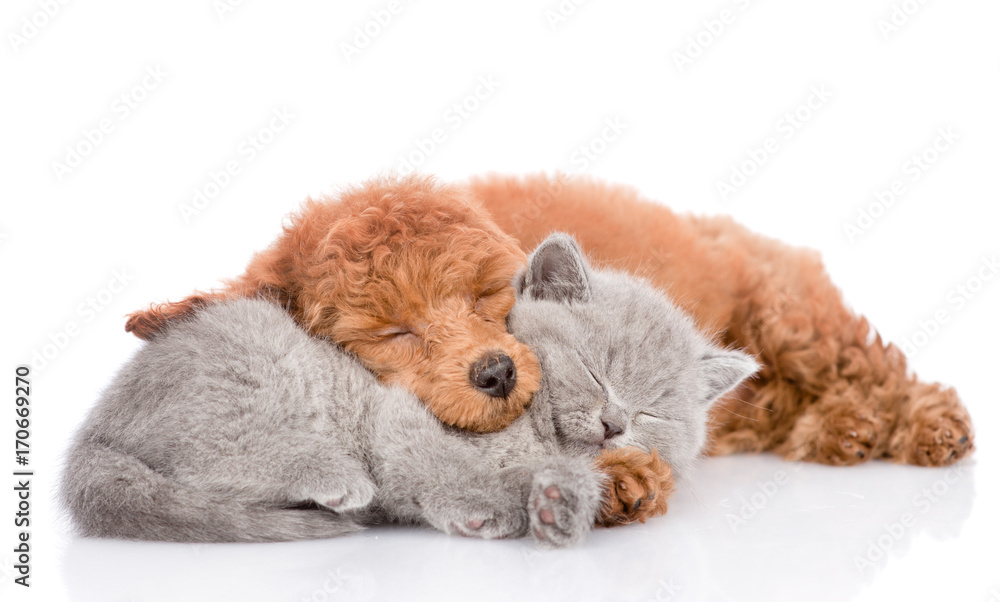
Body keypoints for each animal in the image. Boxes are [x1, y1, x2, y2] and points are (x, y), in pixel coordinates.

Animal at [58, 232, 752, 548]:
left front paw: (559, 504)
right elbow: (437, 464)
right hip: (253, 371)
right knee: (215, 455)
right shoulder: (397, 414)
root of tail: (94, 429)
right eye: (593, 369)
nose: (614, 422)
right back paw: (334, 478)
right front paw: (487, 505)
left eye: (653, 412)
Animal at [470, 171, 976, 466]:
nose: (614, 425)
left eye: (651, 410)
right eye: (593, 373)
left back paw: (933, 428)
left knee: (878, 368)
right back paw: (846, 429)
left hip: (793, 324)